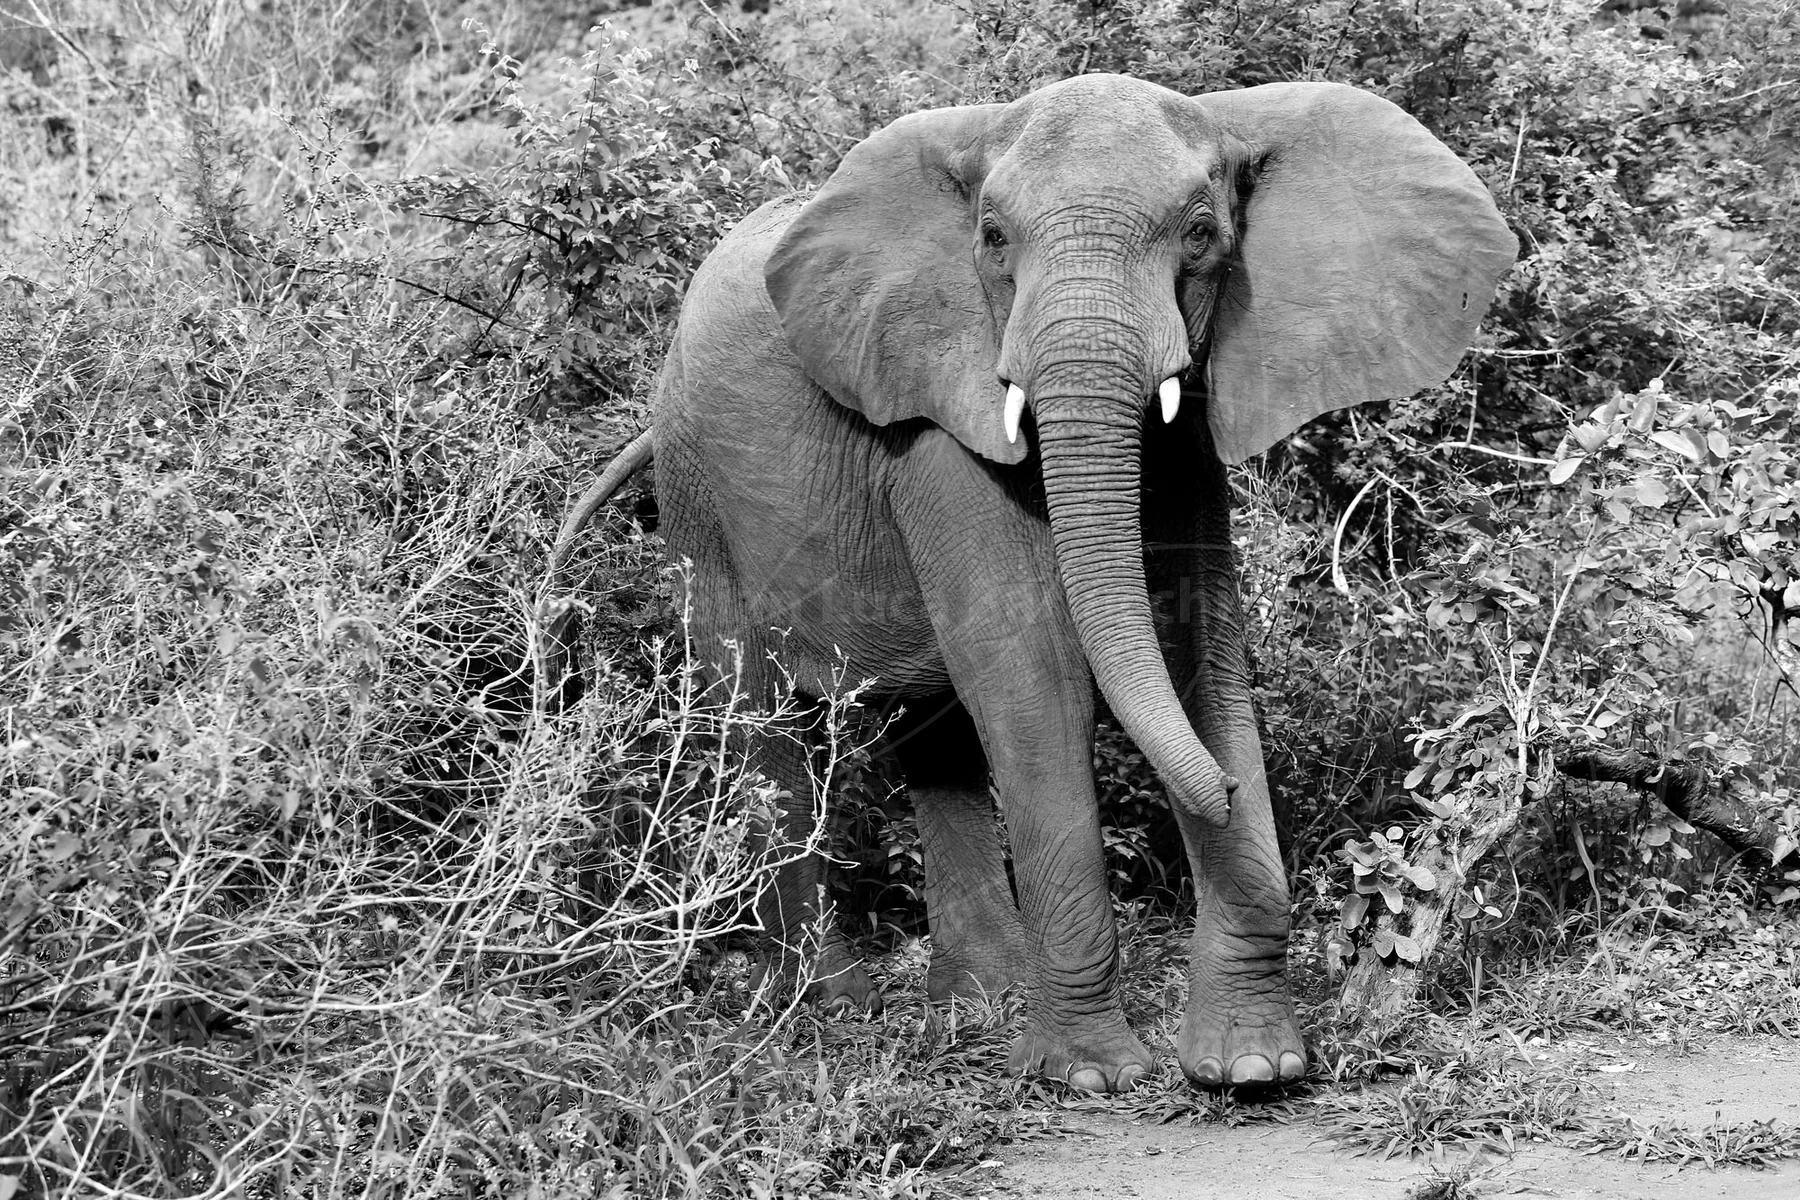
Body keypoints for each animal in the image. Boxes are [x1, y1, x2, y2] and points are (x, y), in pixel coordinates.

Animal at [556, 73, 1515, 1091]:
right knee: (762, 719)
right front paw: (1090, 1075)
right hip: (699, 500)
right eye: (992, 238)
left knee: (932, 736)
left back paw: (980, 1000)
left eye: (1202, 233)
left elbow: (1199, 656)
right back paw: (826, 1002)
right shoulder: (942, 421)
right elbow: (1035, 674)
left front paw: (1252, 1067)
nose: (1226, 791)